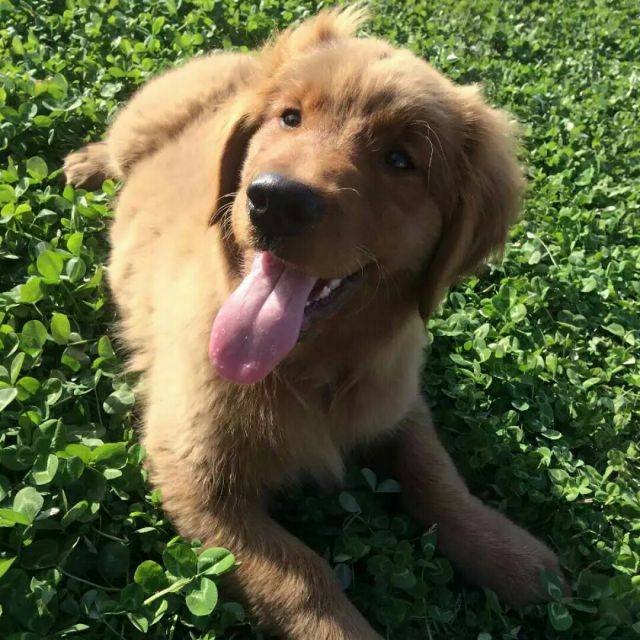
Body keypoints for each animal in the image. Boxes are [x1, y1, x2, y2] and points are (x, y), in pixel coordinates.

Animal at [64, 7, 565, 639]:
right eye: (290, 118)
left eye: (400, 160)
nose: (275, 200)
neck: (311, 366)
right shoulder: (191, 471)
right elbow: (301, 577)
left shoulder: (393, 402)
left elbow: (438, 477)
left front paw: (513, 556)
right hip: (145, 117)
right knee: (117, 142)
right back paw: (85, 164)